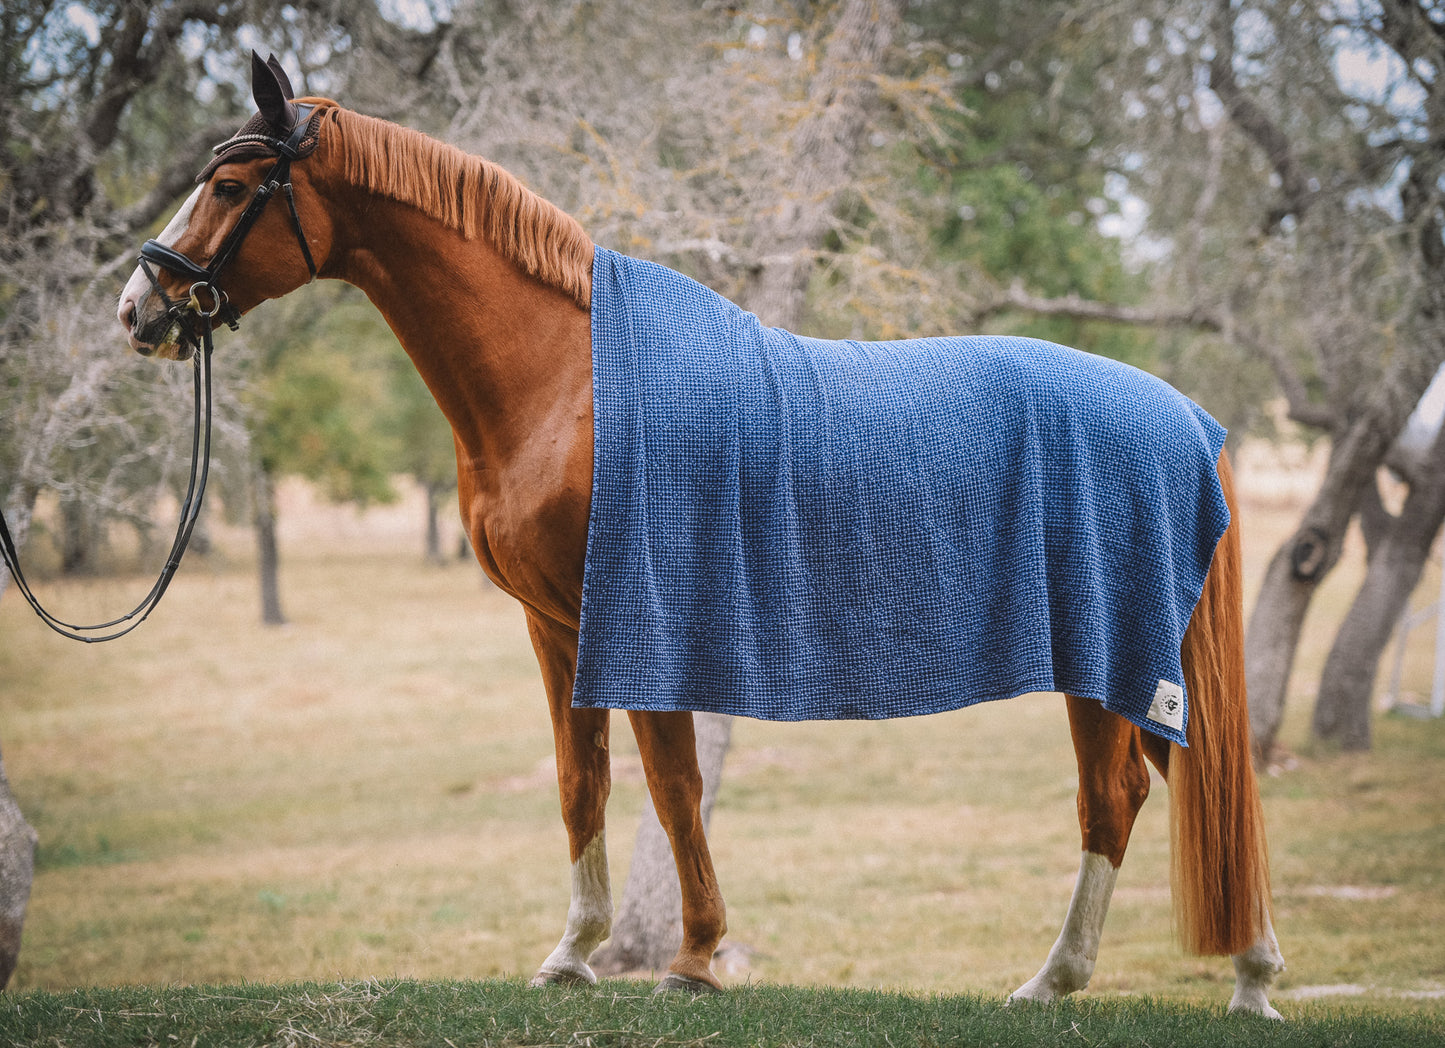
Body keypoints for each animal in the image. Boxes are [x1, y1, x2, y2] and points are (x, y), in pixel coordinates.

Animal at [118, 53, 1285, 1016]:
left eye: (231, 188)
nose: (141, 307)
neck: (567, 381)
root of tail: (1186, 417)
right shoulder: (557, 627)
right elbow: (581, 782)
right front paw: (573, 954)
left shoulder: (645, 618)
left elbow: (673, 786)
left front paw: (692, 959)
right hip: (1143, 658)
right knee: (1200, 786)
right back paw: (1249, 974)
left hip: (1105, 656)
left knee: (1114, 795)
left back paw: (1057, 980)